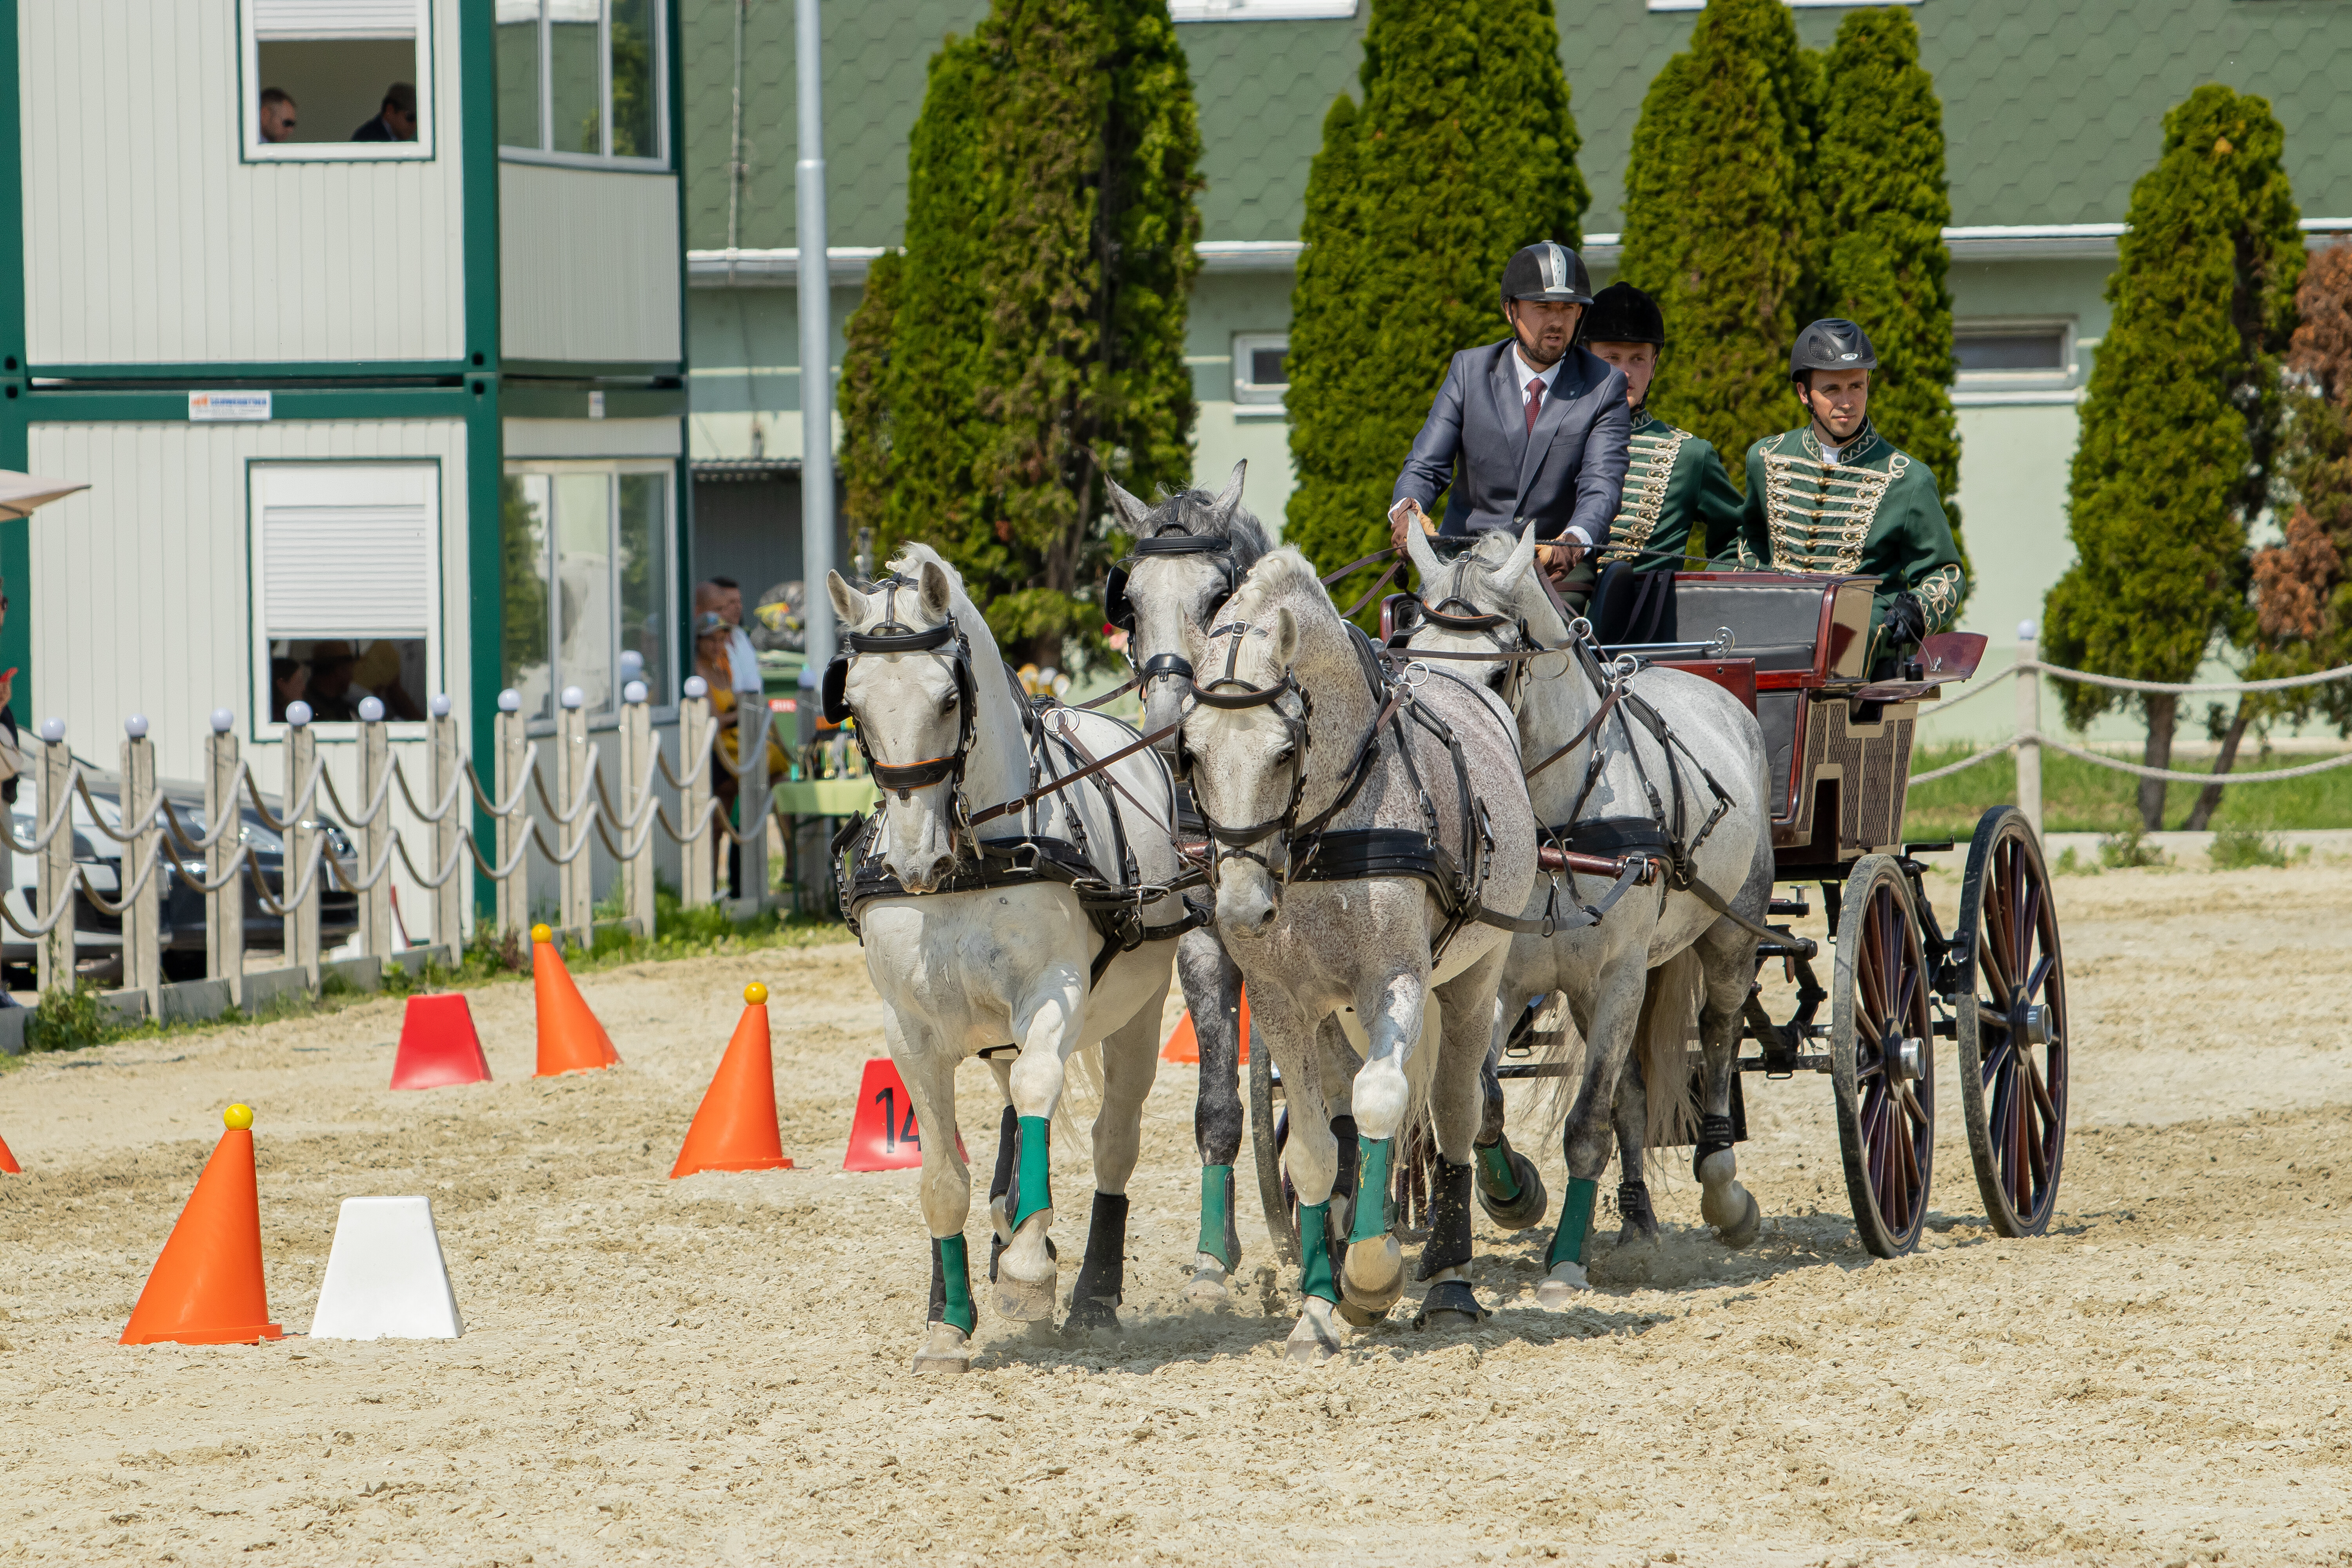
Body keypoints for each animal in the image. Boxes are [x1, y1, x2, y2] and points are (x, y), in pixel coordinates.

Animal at [833, 550, 1195, 1373]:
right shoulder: (909, 1031)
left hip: (1140, 1010)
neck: (972, 860)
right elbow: (943, 1176)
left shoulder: (1052, 994)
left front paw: (1030, 1272)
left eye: (947, 698)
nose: (914, 862)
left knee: (1110, 1140)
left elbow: (1038, 1089)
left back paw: (1090, 1291)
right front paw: (947, 1322)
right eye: (855, 707)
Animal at [1176, 545, 1543, 1354]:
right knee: (1347, 1114)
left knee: (1453, 1111)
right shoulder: (1282, 1006)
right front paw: (1320, 1305)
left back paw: (1449, 1280)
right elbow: (1316, 1148)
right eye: (1189, 754)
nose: (1242, 908)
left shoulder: (1394, 982)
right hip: (1332, 1015)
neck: (1324, 826)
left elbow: (1385, 1100)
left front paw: (1373, 1278)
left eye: (1285, 751)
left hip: (1473, 978)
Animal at [1402, 526, 1769, 1298]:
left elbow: (1586, 1125)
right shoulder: (1507, 981)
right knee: (1633, 1095)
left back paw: (1725, 1193)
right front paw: (1512, 1194)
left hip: (1727, 938)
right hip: (1583, 991)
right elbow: (1483, 1101)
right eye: (1414, 657)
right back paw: (1637, 1224)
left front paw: (1567, 1262)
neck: (1553, 821)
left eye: (1496, 677)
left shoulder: (1622, 975)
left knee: (1719, 1038)